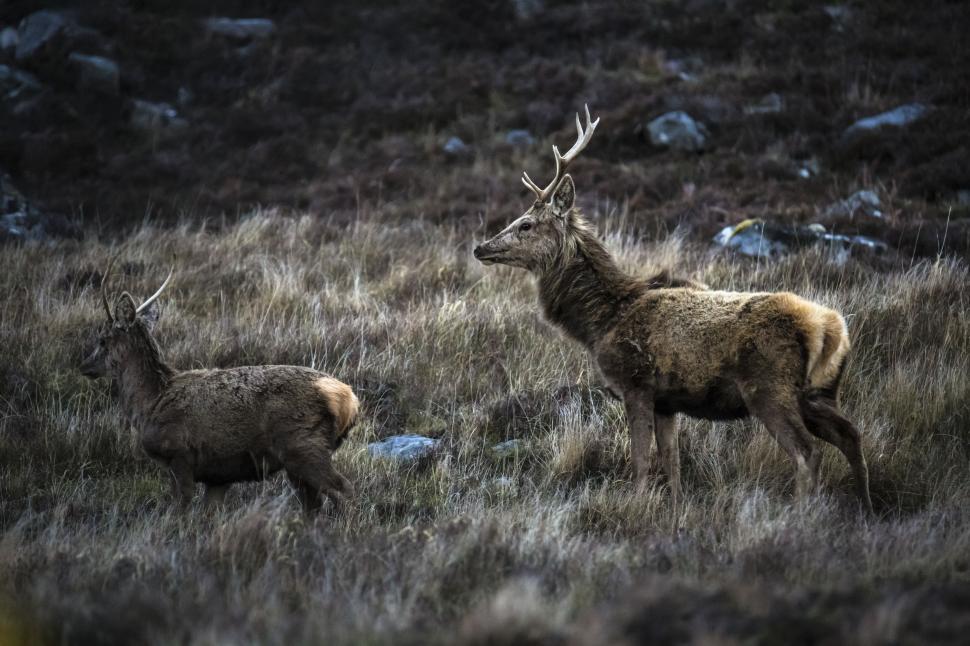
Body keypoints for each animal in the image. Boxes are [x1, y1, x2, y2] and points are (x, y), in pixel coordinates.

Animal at [79, 260, 358, 512]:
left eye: (102, 340)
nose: (84, 366)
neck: (151, 401)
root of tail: (348, 399)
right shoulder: (218, 475)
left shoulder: (179, 454)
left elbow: (180, 508)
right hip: (298, 460)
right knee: (314, 506)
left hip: (303, 445)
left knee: (344, 489)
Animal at [472, 106, 872, 512]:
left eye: (526, 224)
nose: (480, 247)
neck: (600, 322)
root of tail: (830, 329)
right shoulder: (667, 402)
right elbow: (672, 463)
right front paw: (676, 509)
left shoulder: (635, 383)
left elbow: (641, 460)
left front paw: (635, 506)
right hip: (820, 391)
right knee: (851, 434)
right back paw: (866, 504)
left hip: (770, 387)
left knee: (808, 452)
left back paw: (802, 510)